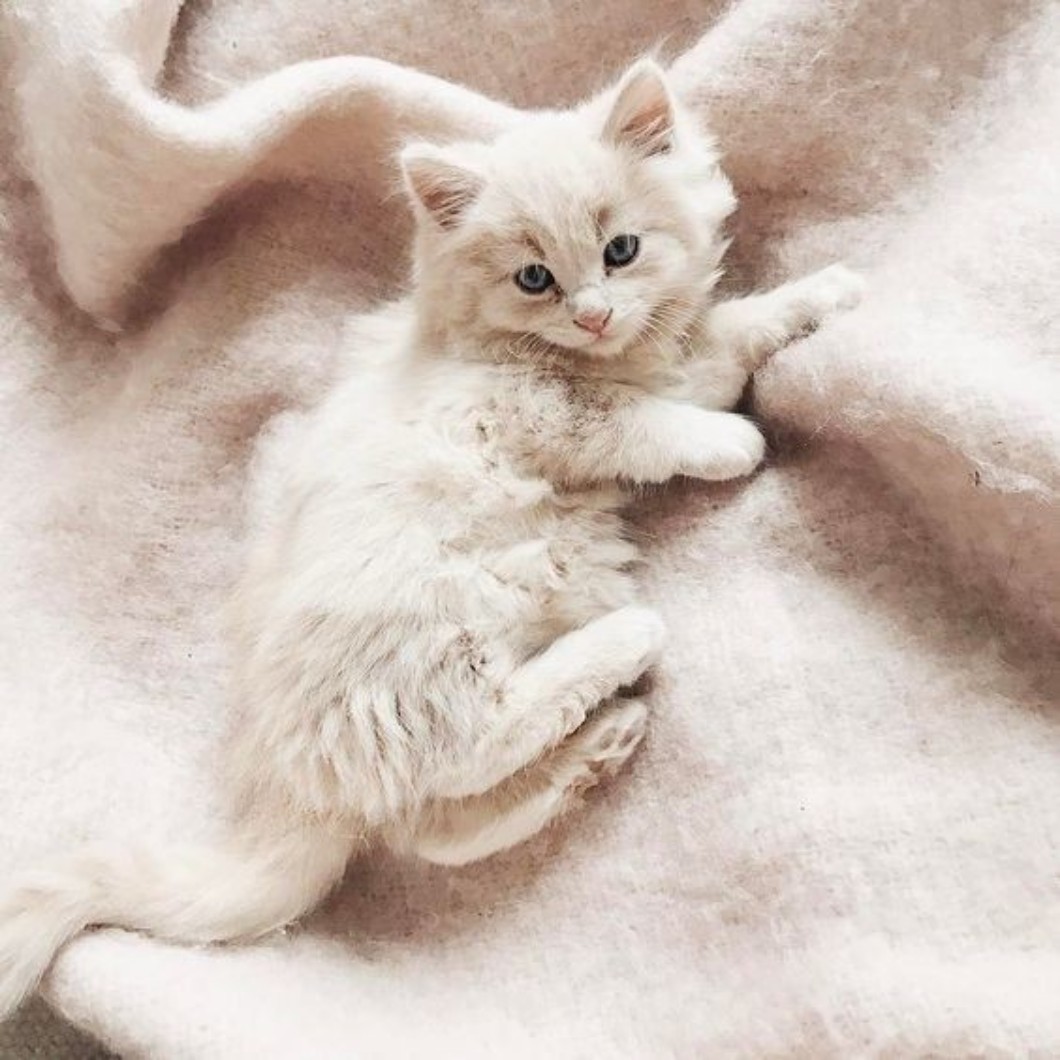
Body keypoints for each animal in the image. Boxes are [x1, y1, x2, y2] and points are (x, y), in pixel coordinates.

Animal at [0, 58, 863, 1018]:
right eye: (534, 278)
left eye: (620, 252)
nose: (593, 315)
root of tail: (293, 773)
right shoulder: (556, 415)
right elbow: (651, 426)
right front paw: (736, 441)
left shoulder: (671, 362)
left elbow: (732, 334)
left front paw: (825, 292)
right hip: (440, 634)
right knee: (477, 744)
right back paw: (622, 645)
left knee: (437, 824)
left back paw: (601, 747)